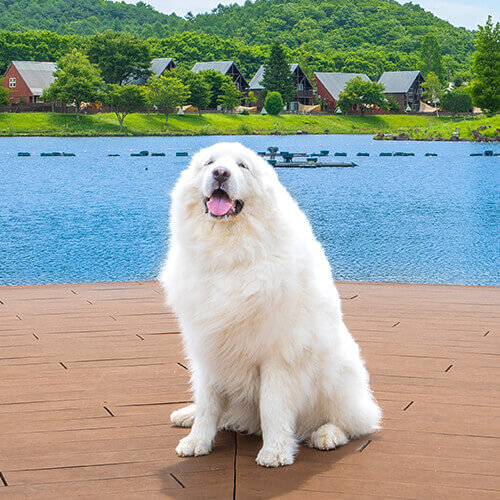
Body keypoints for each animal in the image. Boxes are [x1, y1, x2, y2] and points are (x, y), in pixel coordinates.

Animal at [162, 143, 380, 466]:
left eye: (242, 166)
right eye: (209, 163)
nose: (220, 173)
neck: (229, 254)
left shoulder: (279, 356)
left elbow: (272, 406)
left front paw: (275, 452)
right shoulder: (209, 348)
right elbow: (207, 403)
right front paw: (196, 441)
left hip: (339, 376)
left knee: (355, 422)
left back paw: (327, 434)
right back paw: (185, 415)